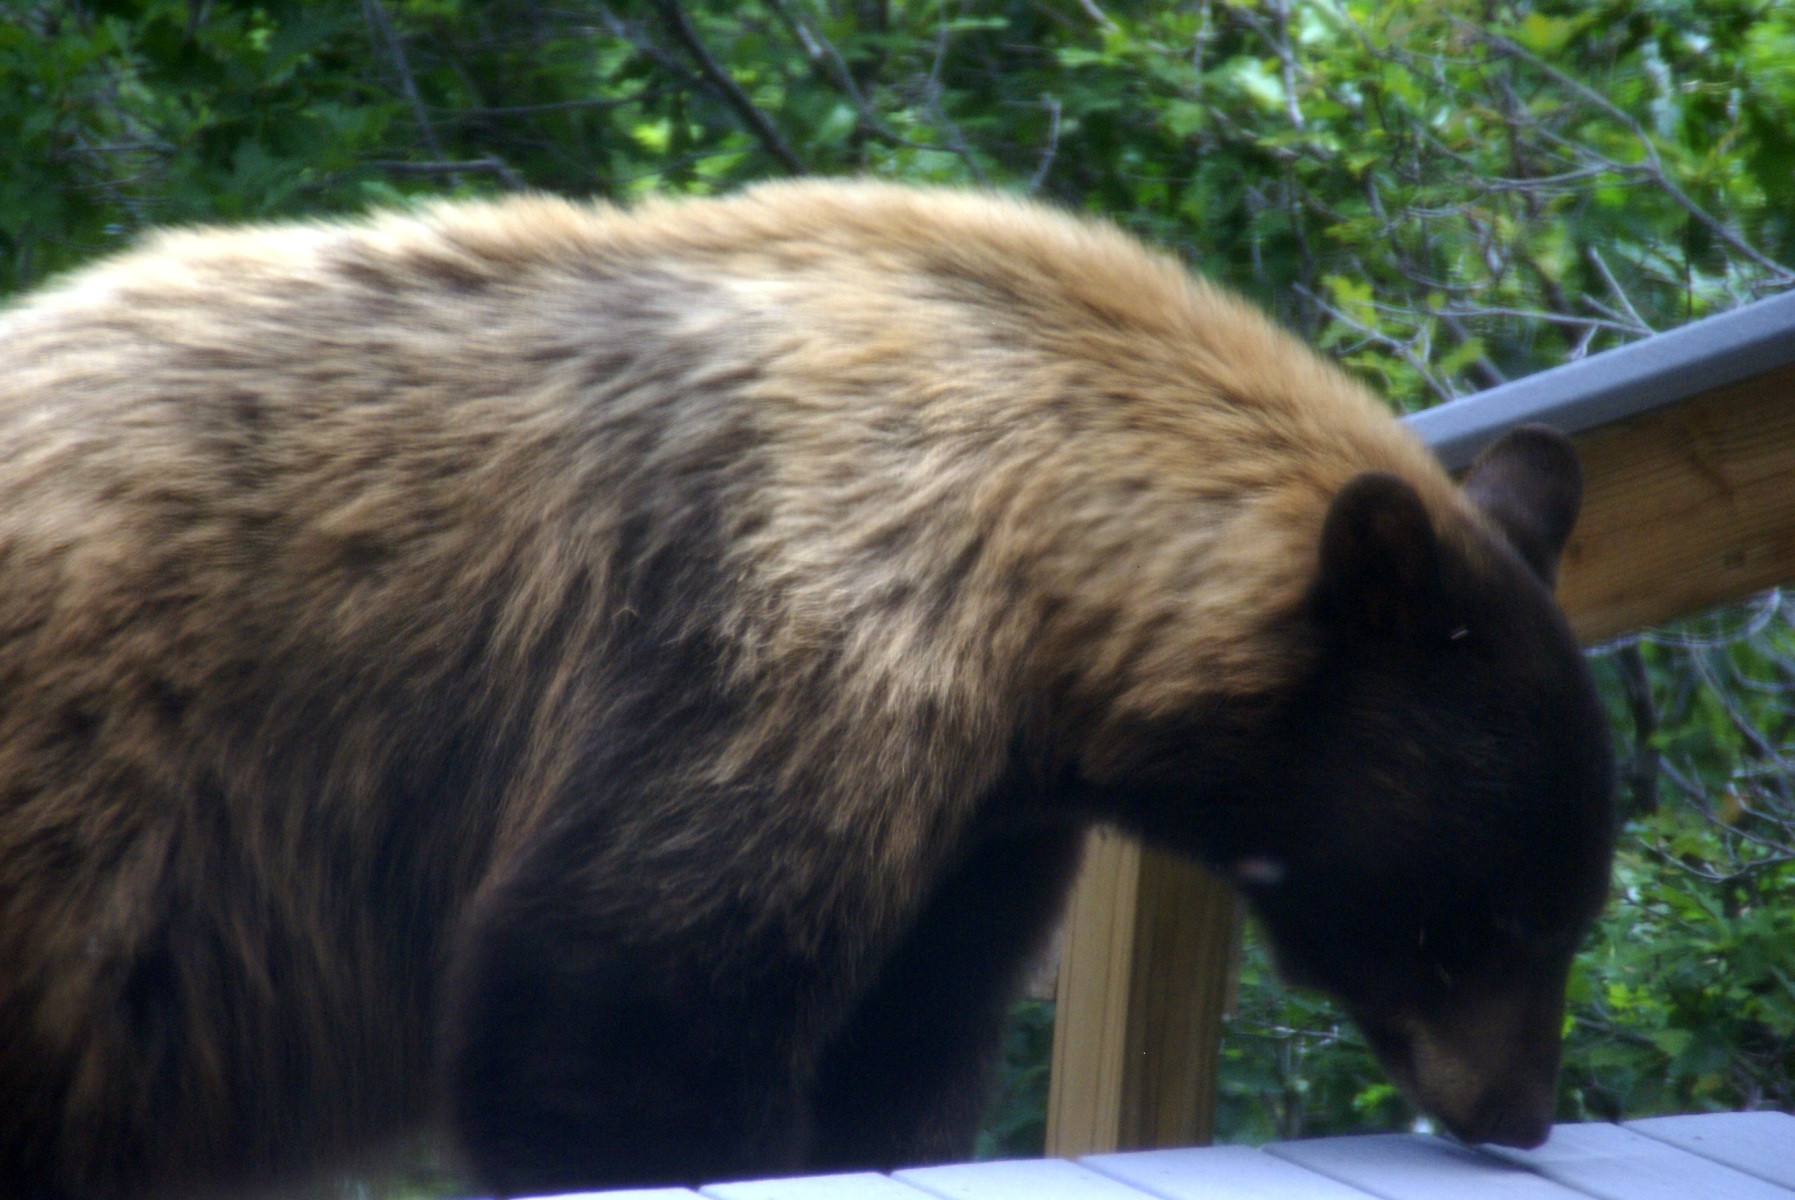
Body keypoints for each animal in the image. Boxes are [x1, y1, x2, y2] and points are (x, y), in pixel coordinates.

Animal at [0, 181, 1614, 1199]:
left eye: (1566, 909)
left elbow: (905, 1036)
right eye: (1495, 919)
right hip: (85, 850)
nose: (1519, 1109)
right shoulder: (793, 628)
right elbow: (620, 1002)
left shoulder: (982, 824)